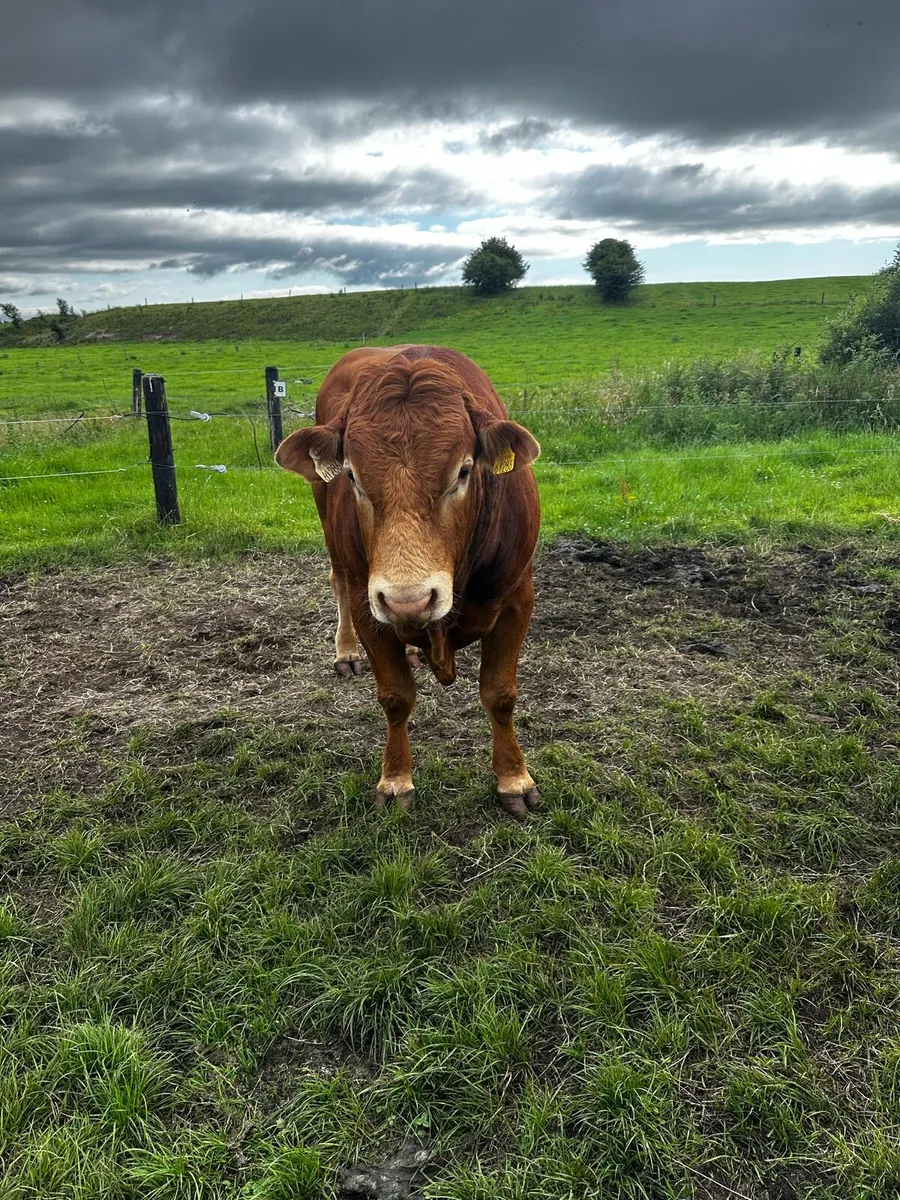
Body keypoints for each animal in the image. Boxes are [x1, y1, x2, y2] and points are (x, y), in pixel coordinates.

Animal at [275, 345, 542, 818]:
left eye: (464, 471)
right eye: (352, 475)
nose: (408, 601)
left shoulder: (516, 598)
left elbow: (500, 694)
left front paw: (514, 778)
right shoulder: (369, 606)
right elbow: (396, 697)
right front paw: (396, 779)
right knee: (338, 581)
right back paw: (346, 652)